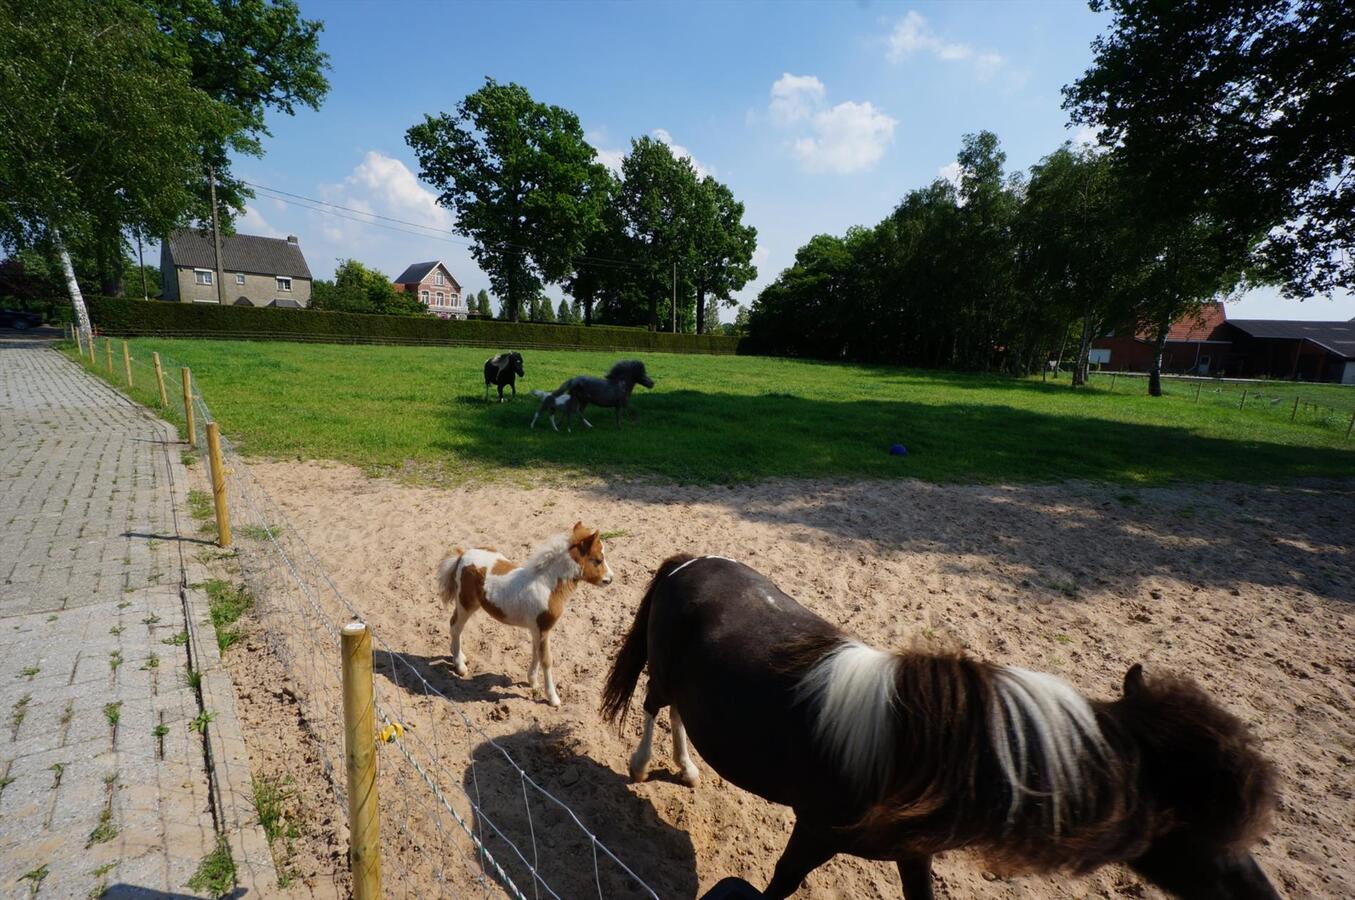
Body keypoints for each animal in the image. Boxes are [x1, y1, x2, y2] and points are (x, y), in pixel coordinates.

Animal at [439, 523, 615, 704]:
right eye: (598, 560)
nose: (610, 579)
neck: (547, 586)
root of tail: (463, 555)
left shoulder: (537, 629)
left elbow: (535, 652)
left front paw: (533, 681)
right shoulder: (543, 628)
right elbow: (546, 660)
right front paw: (553, 698)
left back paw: (459, 656)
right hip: (466, 603)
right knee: (455, 627)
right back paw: (460, 666)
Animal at [525, 357, 653, 431]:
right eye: (642, 374)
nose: (652, 383)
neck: (621, 384)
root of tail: (574, 379)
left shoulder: (619, 405)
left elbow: (620, 415)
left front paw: (622, 426)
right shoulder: (622, 404)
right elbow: (632, 412)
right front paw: (628, 425)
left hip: (581, 401)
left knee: (573, 412)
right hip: (581, 400)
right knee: (576, 412)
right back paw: (584, 425)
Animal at [604, 555, 1279, 900]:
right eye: (1184, 825)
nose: (1262, 896)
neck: (919, 752)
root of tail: (689, 562)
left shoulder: (913, 854)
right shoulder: (814, 832)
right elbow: (781, 885)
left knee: (680, 713)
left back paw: (688, 767)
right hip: (663, 670)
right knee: (654, 705)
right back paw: (643, 765)